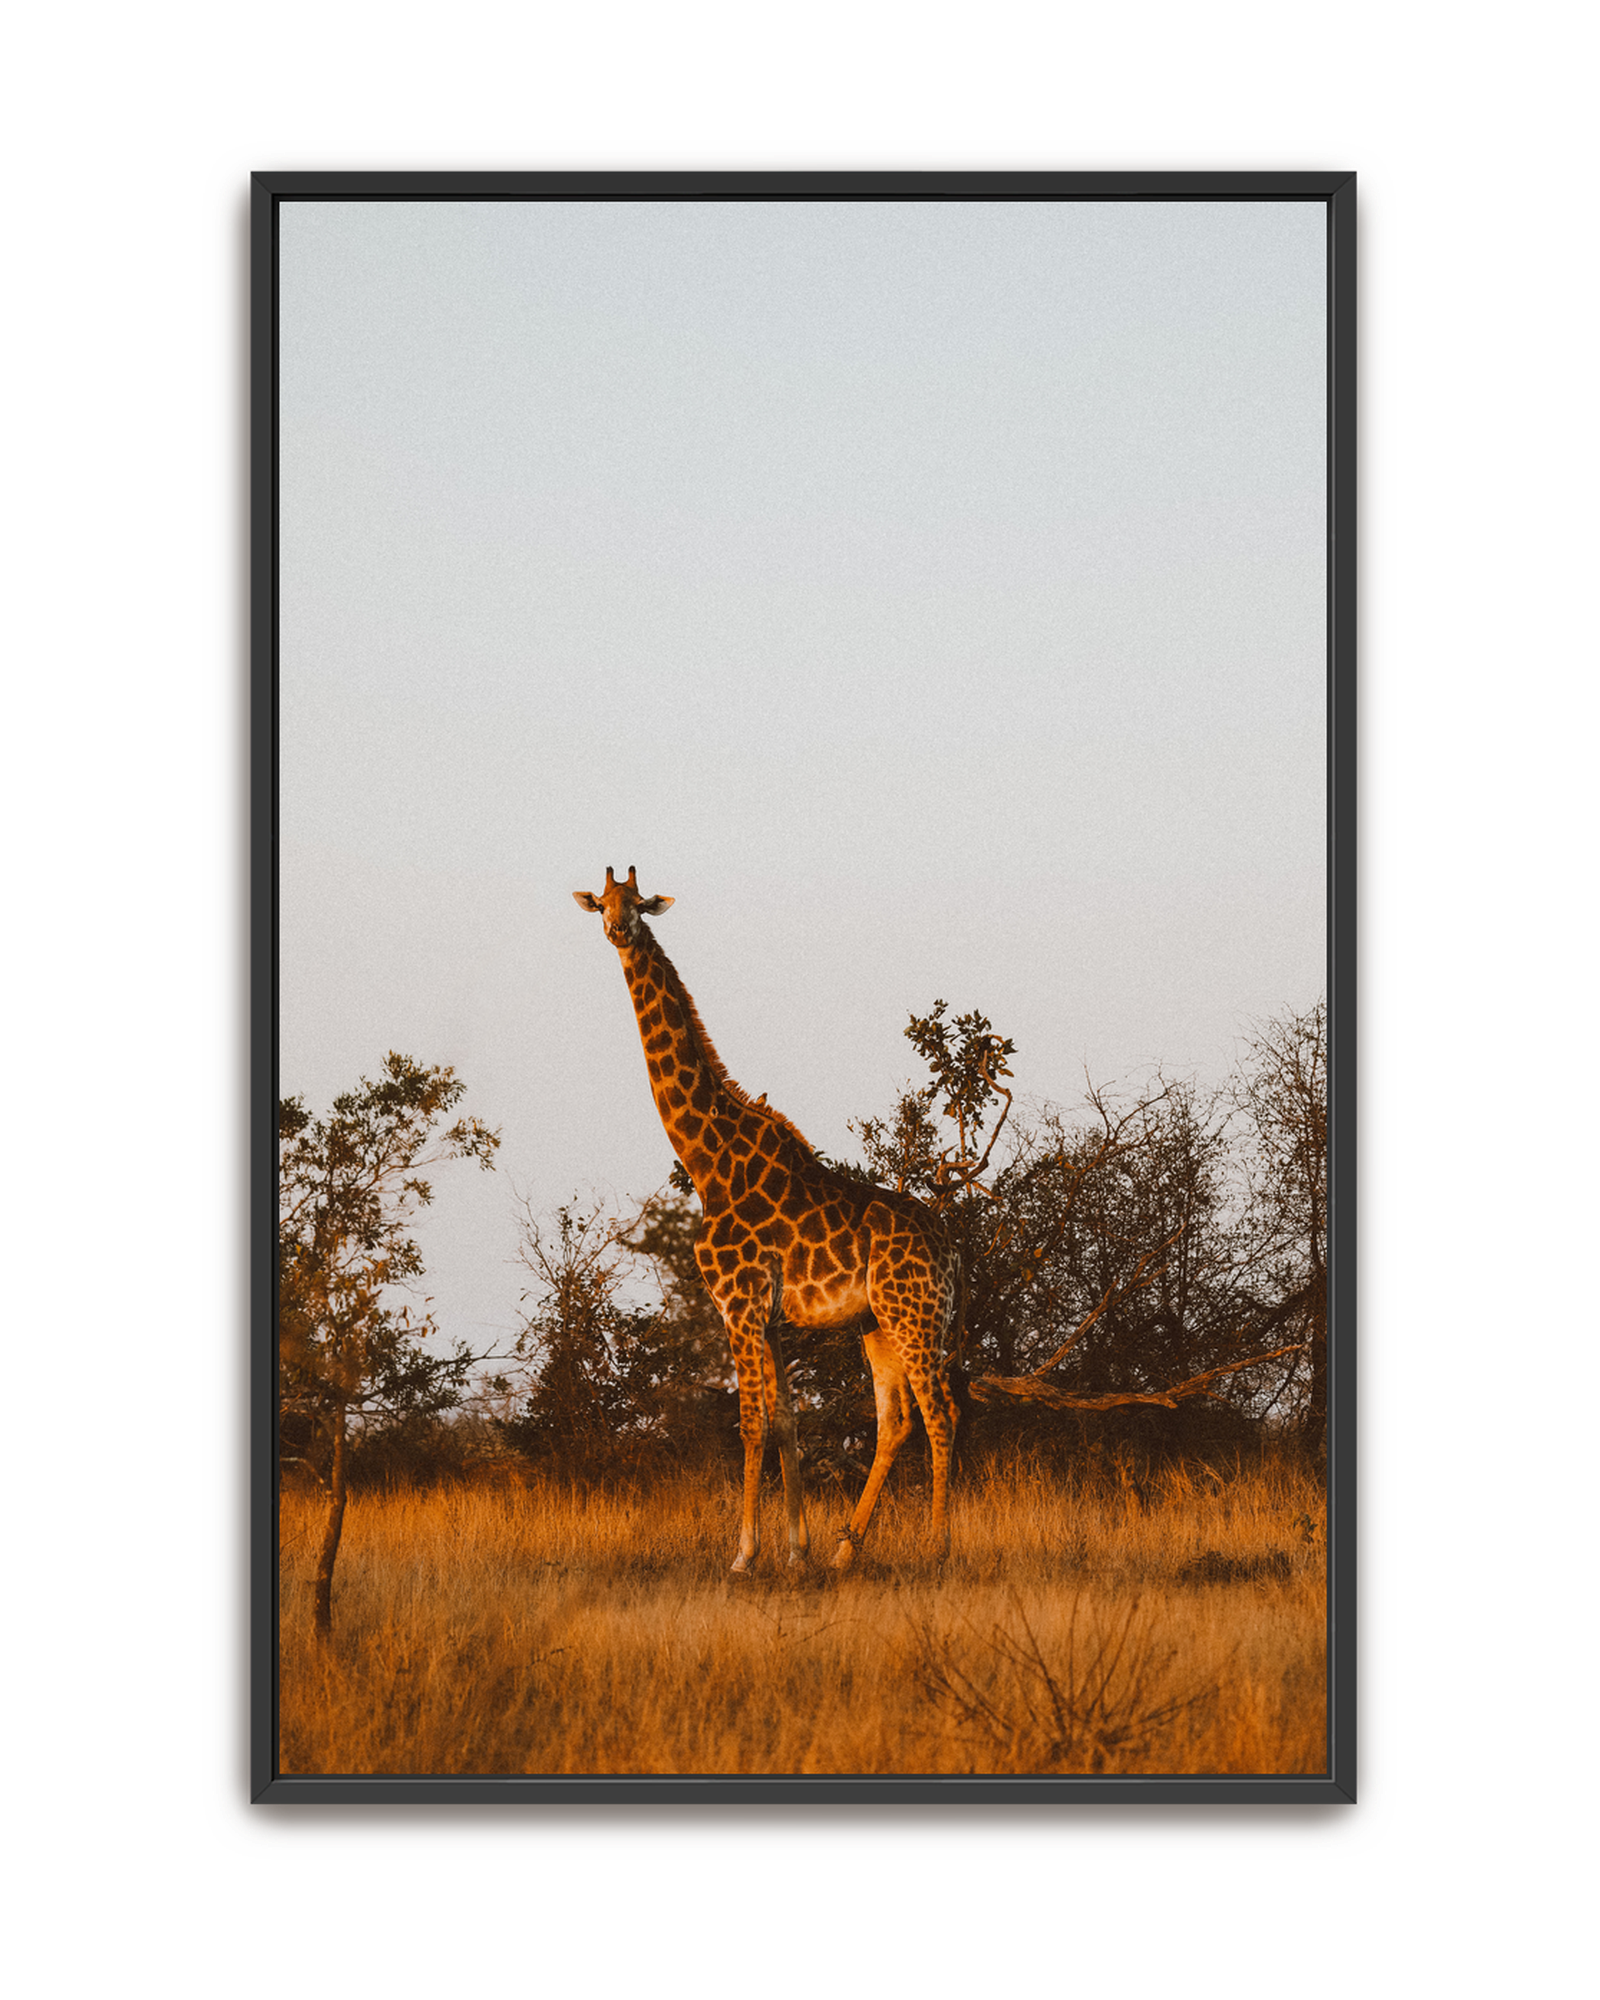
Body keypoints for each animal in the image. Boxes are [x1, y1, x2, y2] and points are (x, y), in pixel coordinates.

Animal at [574, 867, 962, 1572]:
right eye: (602, 904)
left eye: (638, 903)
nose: (618, 930)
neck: (709, 1162)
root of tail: (952, 1248)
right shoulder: (774, 1316)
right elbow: (786, 1419)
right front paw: (797, 1551)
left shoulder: (739, 1301)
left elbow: (751, 1420)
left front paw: (744, 1553)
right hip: (878, 1323)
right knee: (895, 1421)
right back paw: (844, 1553)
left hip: (914, 1315)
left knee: (939, 1413)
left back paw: (939, 1549)